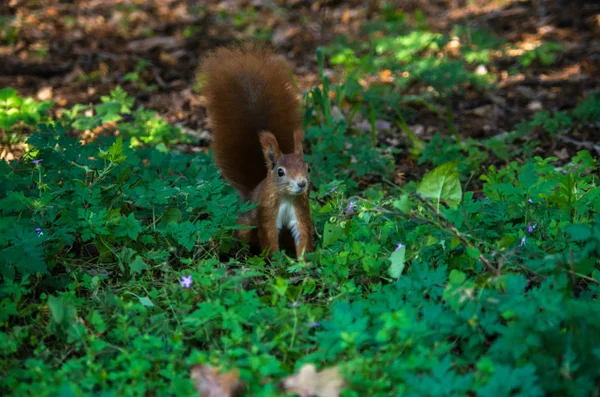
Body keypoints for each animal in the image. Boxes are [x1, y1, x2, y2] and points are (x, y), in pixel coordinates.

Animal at [200, 44, 314, 256]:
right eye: (280, 172)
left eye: (308, 168)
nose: (302, 184)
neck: (286, 197)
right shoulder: (266, 211)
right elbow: (269, 236)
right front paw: (278, 262)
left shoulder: (300, 208)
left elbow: (303, 233)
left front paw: (303, 260)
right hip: (245, 226)